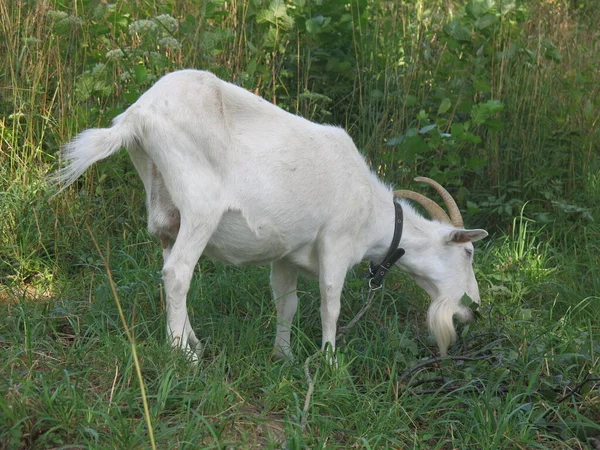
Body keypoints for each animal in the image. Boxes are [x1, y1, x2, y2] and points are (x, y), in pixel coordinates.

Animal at [54, 70, 490, 358]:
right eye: (468, 253)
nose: (474, 309)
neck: (372, 210)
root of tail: (137, 117)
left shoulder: (287, 255)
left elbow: (287, 303)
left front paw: (284, 355)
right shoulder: (336, 243)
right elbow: (330, 302)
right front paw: (329, 362)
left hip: (166, 208)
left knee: (168, 265)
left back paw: (194, 340)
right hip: (200, 206)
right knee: (177, 273)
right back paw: (183, 354)